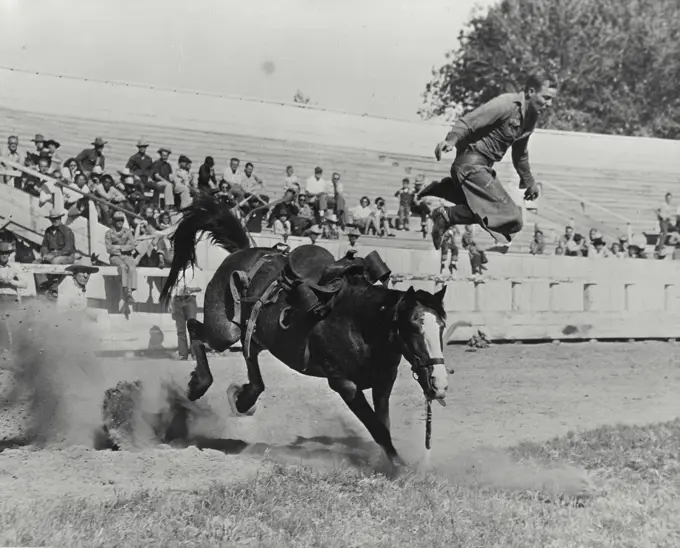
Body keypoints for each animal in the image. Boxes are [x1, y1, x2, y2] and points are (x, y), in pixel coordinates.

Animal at [159, 194, 452, 466]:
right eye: (413, 327)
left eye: (442, 326)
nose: (439, 383)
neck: (359, 323)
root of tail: (241, 253)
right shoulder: (344, 384)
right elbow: (376, 427)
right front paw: (400, 467)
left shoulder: (383, 383)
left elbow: (383, 426)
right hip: (224, 330)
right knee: (195, 329)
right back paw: (198, 385)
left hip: (257, 336)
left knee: (249, 357)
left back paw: (242, 399)